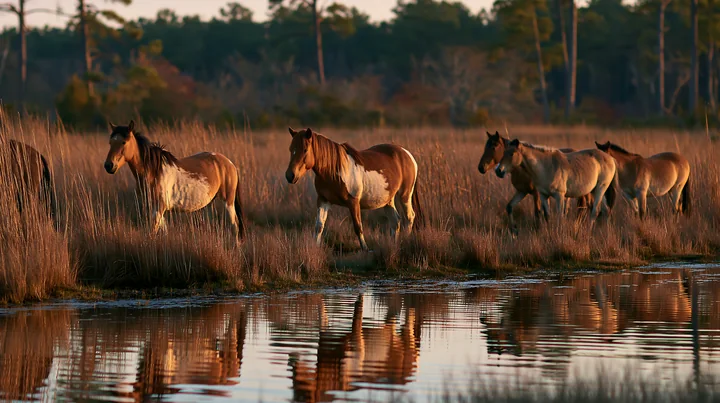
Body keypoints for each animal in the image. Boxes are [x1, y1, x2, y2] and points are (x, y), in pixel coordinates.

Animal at [104, 120, 246, 241]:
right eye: (110, 143)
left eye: (123, 142)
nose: (109, 166)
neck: (154, 171)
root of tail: (230, 163)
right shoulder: (154, 207)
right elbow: (163, 230)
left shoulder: (159, 207)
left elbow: (152, 231)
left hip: (228, 201)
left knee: (235, 226)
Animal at [285, 127, 422, 251]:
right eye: (290, 149)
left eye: (305, 150)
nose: (290, 176)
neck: (334, 170)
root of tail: (407, 154)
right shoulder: (323, 200)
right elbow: (319, 226)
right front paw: (315, 248)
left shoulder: (353, 202)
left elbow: (358, 226)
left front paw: (365, 249)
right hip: (388, 200)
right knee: (395, 221)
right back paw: (394, 246)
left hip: (405, 196)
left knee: (409, 217)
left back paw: (405, 241)